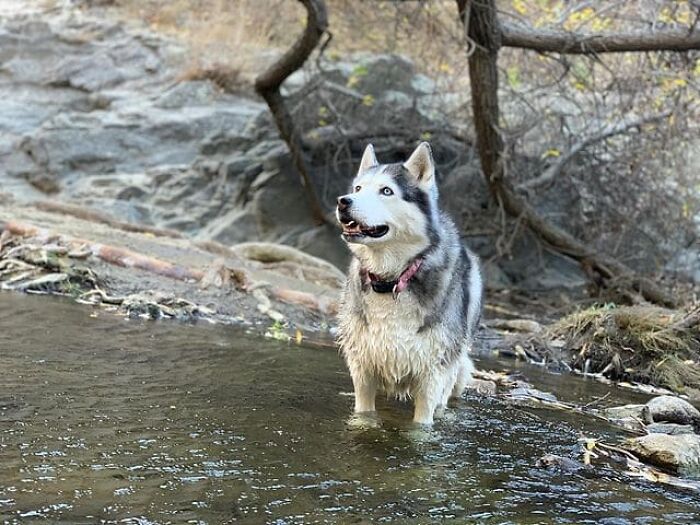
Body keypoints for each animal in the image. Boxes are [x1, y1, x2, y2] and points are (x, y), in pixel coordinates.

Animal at [336, 141, 484, 424]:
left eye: (386, 191)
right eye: (358, 188)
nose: (343, 201)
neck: (391, 280)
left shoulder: (431, 379)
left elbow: (420, 427)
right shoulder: (363, 371)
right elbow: (365, 415)